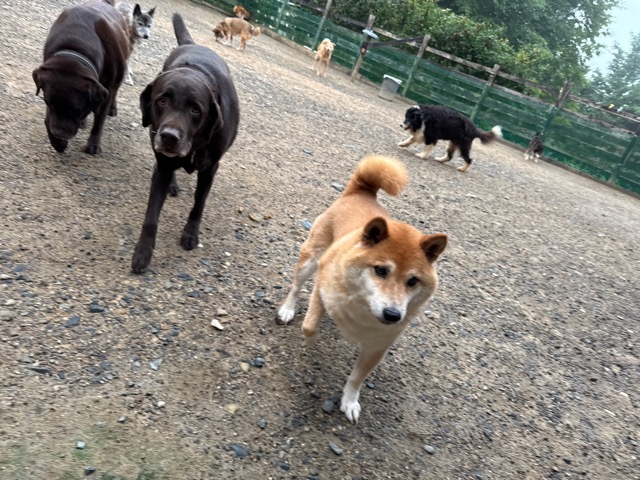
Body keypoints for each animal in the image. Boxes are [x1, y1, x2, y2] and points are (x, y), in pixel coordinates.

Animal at [32, 0, 130, 155]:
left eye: (76, 109)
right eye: (49, 103)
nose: (60, 134)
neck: (77, 45)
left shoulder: (107, 89)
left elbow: (99, 120)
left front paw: (93, 145)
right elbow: (48, 119)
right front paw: (58, 143)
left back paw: (112, 109)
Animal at [131, 13, 240, 274]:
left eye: (195, 109)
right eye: (162, 100)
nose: (169, 136)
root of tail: (192, 43)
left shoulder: (210, 169)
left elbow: (199, 204)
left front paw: (191, 233)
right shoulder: (161, 164)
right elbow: (151, 216)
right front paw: (143, 252)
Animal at [277, 155, 448, 423]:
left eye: (413, 281)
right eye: (381, 270)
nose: (393, 314)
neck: (363, 306)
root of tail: (361, 193)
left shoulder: (377, 347)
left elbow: (357, 379)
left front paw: (349, 402)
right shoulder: (323, 288)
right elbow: (310, 325)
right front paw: (309, 343)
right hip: (310, 259)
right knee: (296, 287)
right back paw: (287, 310)